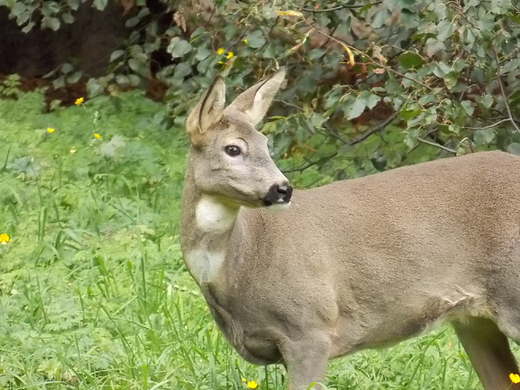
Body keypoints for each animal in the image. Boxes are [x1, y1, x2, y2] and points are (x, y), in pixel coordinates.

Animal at [179, 68, 520, 390]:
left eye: (265, 144)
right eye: (233, 149)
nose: (283, 189)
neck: (241, 261)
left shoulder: (310, 328)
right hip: (473, 320)